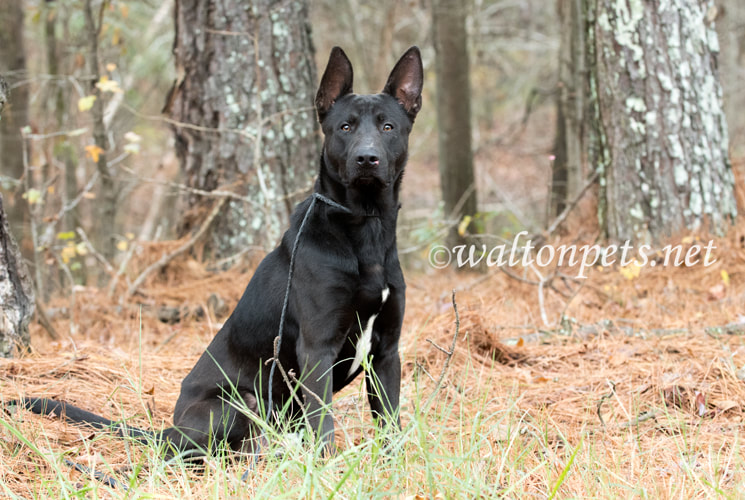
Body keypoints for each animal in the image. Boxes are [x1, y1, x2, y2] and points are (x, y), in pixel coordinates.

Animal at [11, 46, 422, 458]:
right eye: (345, 128)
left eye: (388, 127)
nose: (366, 159)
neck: (365, 228)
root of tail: (168, 428)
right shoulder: (317, 348)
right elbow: (324, 424)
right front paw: (326, 465)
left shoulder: (387, 352)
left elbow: (390, 420)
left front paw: (391, 463)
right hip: (235, 403)